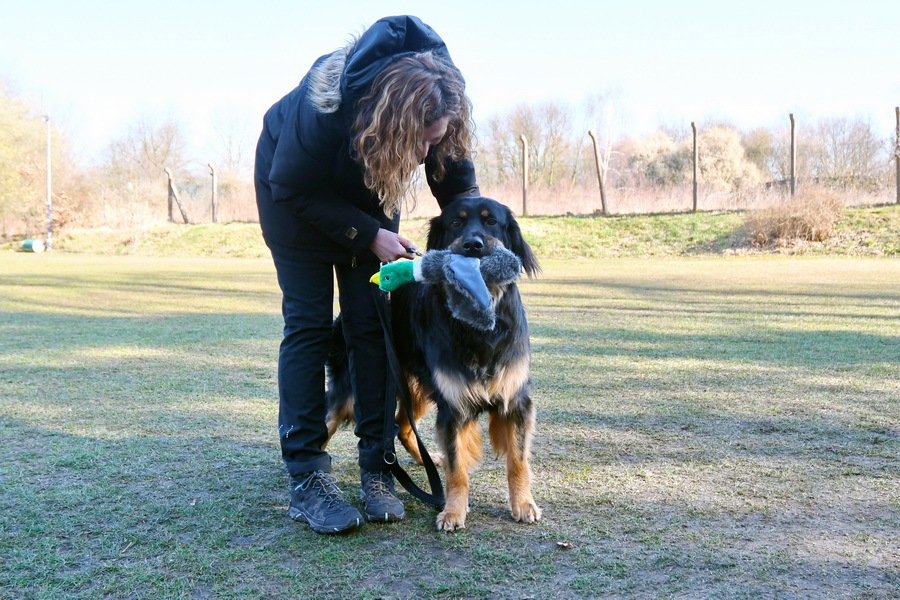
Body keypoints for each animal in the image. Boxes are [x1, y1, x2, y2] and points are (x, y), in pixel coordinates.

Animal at [326, 197, 544, 528]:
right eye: (456, 223)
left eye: (491, 222)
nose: (473, 245)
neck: (478, 327)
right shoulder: (453, 404)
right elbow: (457, 468)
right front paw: (453, 510)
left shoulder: (514, 399)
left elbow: (517, 460)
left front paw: (523, 503)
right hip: (354, 390)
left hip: (416, 390)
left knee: (402, 426)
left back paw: (426, 462)